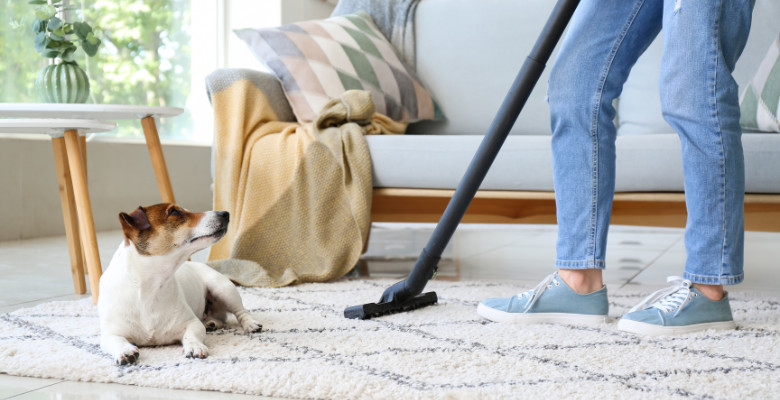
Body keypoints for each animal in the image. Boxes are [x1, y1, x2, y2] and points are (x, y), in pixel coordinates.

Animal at [96, 203, 262, 366]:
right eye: (175, 212)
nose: (225, 213)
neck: (149, 288)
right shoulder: (110, 333)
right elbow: (115, 340)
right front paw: (125, 351)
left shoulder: (192, 323)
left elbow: (191, 334)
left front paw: (194, 346)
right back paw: (211, 323)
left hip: (223, 288)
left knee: (240, 312)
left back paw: (250, 324)